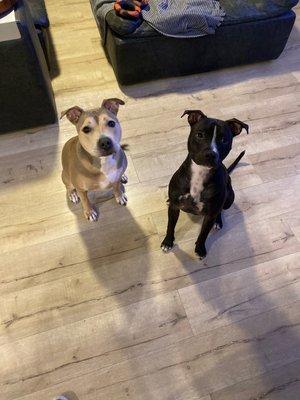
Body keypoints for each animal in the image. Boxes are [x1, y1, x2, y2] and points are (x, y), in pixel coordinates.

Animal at [162, 109, 248, 260]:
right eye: (200, 135)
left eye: (224, 140)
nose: (210, 154)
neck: (200, 172)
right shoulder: (174, 208)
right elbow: (170, 226)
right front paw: (167, 242)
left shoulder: (210, 215)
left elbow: (203, 234)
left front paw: (200, 249)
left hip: (229, 198)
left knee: (221, 209)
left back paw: (218, 222)